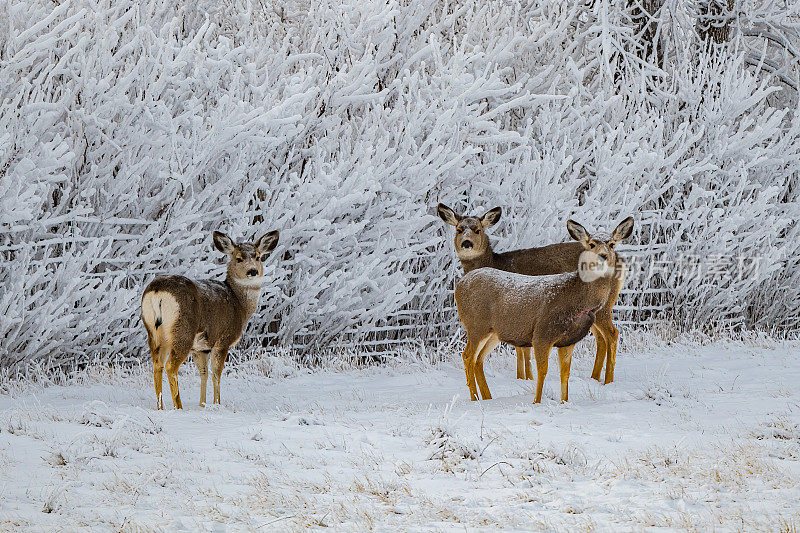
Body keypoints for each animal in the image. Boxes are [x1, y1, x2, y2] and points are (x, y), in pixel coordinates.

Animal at [142, 229, 280, 408]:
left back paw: (160, 407)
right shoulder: (223, 340)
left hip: (154, 332)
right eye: (239, 258)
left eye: (257, 257)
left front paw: (203, 404)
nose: (253, 271)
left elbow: (204, 373)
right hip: (183, 331)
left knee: (157, 365)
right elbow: (216, 373)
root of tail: (157, 291)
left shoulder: (201, 348)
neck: (239, 304)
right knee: (170, 366)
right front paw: (217, 404)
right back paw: (178, 406)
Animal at [440, 203, 628, 382]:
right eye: (459, 229)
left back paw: (607, 380)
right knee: (601, 337)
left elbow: (522, 349)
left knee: (612, 334)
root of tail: (621, 260)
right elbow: (520, 347)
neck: (494, 262)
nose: (467, 243)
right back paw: (595, 377)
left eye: (477, 230)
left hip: (604, 305)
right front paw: (523, 377)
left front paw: (526, 377)